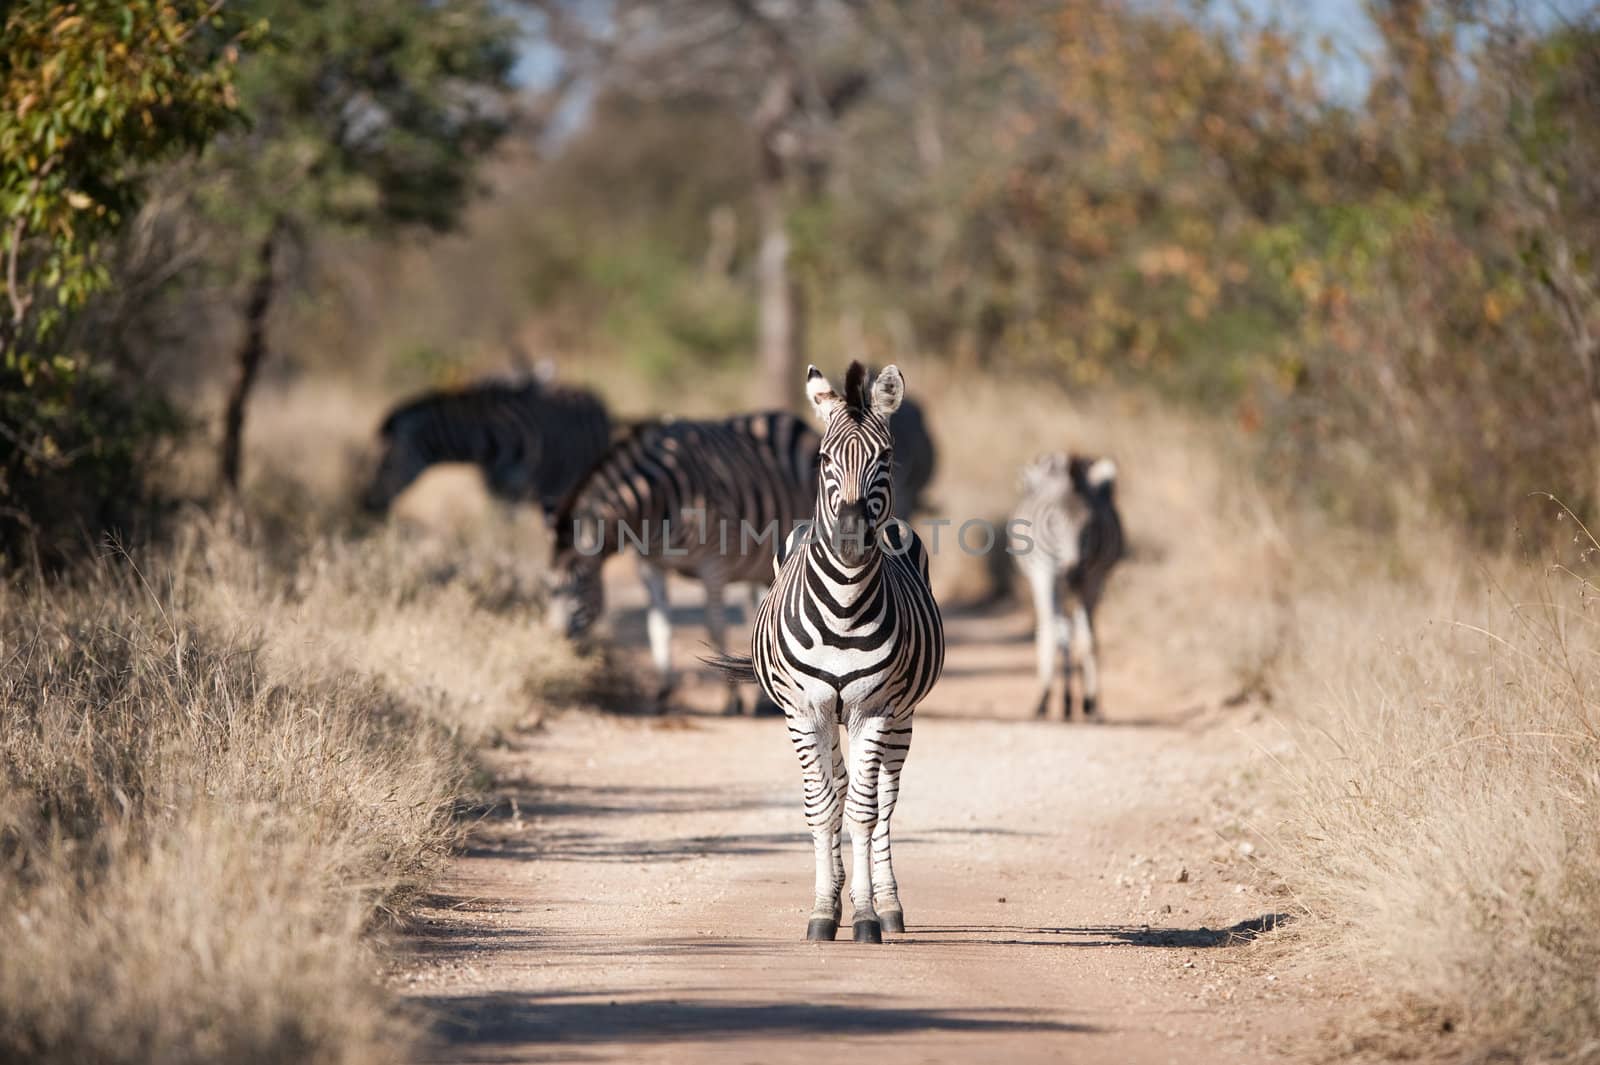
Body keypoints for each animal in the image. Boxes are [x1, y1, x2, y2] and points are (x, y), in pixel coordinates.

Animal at [550, 406, 825, 713]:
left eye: (581, 582)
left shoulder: (713, 564)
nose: (557, 642)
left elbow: (715, 627)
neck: (654, 503)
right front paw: (663, 693)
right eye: (549, 587)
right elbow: (659, 627)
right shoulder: (651, 565)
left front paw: (731, 700)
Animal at [707, 361, 940, 940]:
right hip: (825, 718)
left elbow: (863, 811)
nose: (852, 538)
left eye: (886, 456)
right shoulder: (805, 710)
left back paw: (889, 905)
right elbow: (822, 809)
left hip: (901, 717)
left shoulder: (873, 709)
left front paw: (866, 916)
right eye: (823, 459)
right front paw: (822, 910)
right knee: (837, 788)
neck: (843, 608)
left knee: (884, 803)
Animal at [1011, 450, 1126, 716]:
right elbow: (1057, 632)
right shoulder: (1046, 574)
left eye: (1090, 526)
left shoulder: (1093, 578)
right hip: (1046, 579)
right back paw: (1051, 699)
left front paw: (1091, 702)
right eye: (1052, 523)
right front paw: (1055, 699)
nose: (1073, 572)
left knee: (1072, 629)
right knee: (1051, 627)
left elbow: (1088, 639)